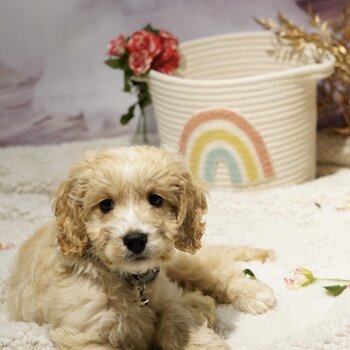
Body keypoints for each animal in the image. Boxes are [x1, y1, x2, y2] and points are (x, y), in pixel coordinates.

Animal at [6, 146, 276, 350]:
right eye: (105, 205)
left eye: (155, 199)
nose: (135, 239)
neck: (132, 281)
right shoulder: (84, 332)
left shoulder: (168, 303)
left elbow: (181, 326)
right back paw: (202, 304)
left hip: (178, 260)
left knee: (211, 267)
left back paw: (253, 292)